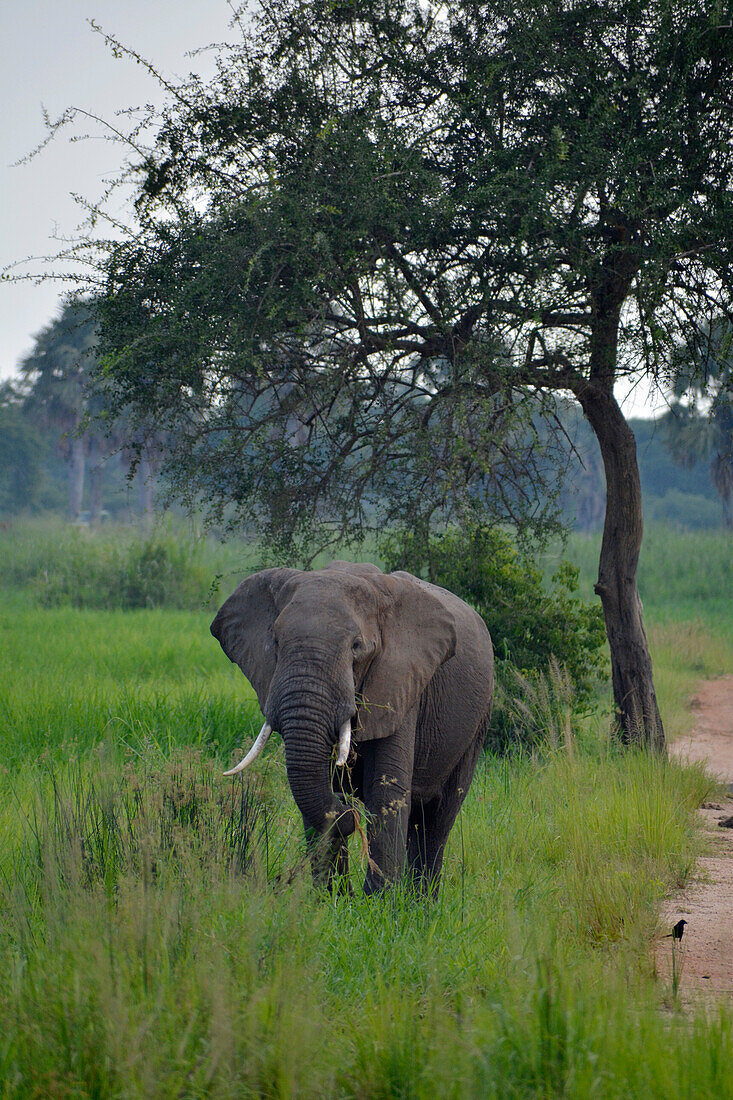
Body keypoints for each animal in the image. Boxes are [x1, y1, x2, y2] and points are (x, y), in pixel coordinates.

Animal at [211, 558, 497, 893]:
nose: (347, 813)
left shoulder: (401, 682)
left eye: (357, 647)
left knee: (438, 818)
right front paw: (332, 898)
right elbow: (313, 783)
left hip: (479, 719)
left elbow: (385, 789)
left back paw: (420, 901)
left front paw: (379, 902)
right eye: (277, 643)